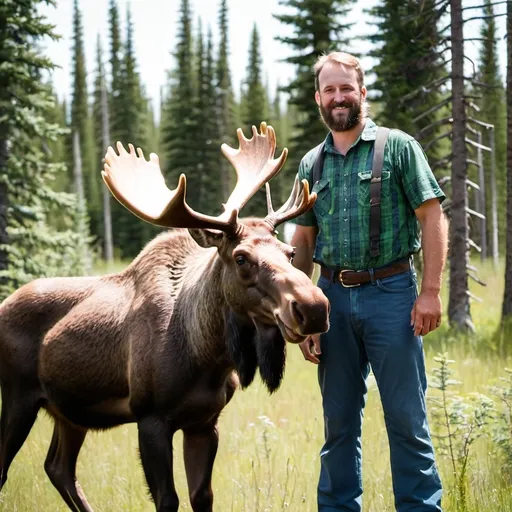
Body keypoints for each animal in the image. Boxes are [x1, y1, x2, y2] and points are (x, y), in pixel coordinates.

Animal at [0, 125, 330, 512]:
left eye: (290, 252)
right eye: (241, 258)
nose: (313, 308)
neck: (208, 356)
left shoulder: (204, 421)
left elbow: (202, 496)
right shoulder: (151, 419)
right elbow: (167, 500)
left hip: (68, 410)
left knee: (59, 468)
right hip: (19, 396)